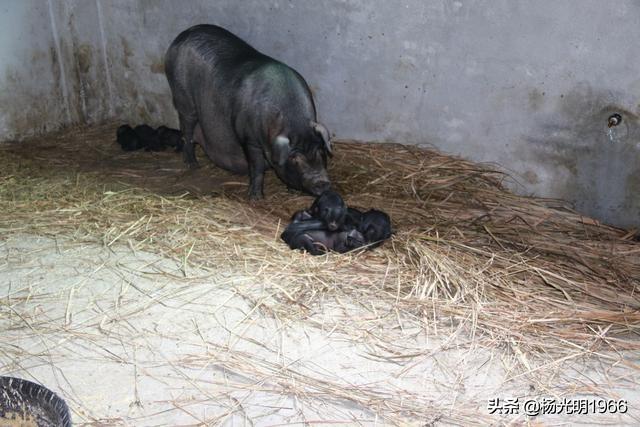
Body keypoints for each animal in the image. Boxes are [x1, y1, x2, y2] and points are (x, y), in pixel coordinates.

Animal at [165, 25, 332, 201]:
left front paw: (292, 191)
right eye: (295, 157)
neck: (293, 119)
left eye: (320, 150)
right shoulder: (249, 138)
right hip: (183, 100)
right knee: (187, 132)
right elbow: (256, 167)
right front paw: (256, 198)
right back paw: (193, 165)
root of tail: (182, 35)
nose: (321, 182)